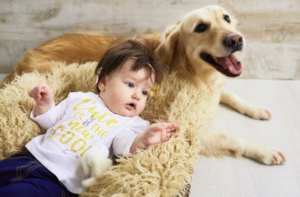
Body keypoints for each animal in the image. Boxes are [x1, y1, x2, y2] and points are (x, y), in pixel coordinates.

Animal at [0, 5, 286, 165]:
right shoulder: (189, 130)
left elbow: (231, 95)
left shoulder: (214, 90)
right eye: (201, 27)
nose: (236, 39)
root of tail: (23, 57)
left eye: (226, 18)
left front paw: (257, 110)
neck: (193, 71)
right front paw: (264, 151)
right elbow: (231, 137)